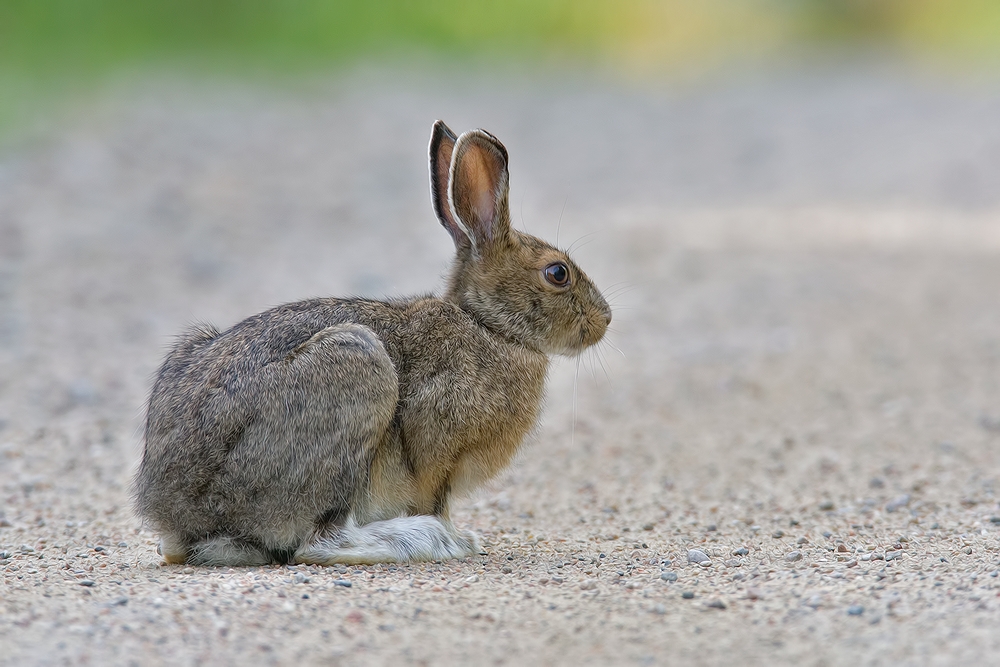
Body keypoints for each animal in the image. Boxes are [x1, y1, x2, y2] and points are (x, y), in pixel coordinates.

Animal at [133, 122, 608, 568]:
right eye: (558, 273)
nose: (605, 319)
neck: (488, 326)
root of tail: (177, 512)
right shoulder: (437, 456)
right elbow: (435, 499)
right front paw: (456, 537)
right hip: (356, 372)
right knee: (317, 543)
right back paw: (422, 540)